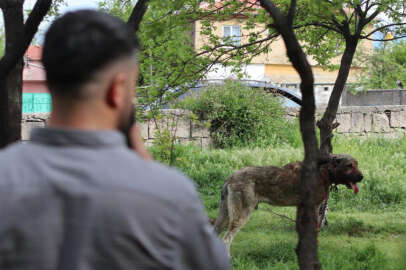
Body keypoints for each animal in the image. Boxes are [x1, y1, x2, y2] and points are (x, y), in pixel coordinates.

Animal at [214, 154, 364, 255]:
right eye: (350, 166)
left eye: (357, 164)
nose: (362, 177)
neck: (325, 171)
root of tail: (230, 178)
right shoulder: (313, 208)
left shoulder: (302, 208)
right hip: (240, 215)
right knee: (226, 240)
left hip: (224, 216)